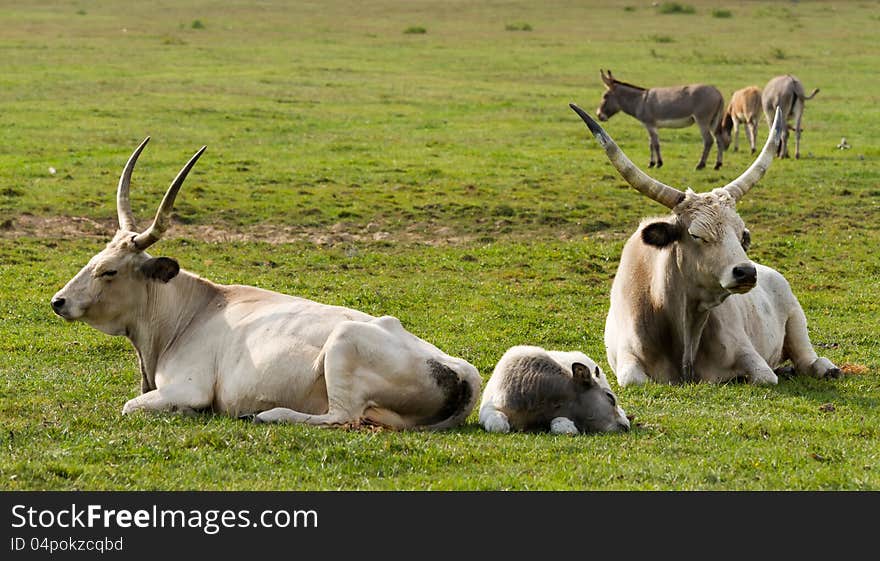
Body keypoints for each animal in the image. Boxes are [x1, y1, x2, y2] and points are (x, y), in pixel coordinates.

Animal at [50, 138, 478, 426]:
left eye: (110, 271)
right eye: (93, 260)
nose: (59, 301)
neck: (193, 311)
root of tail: (459, 369)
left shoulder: (188, 387)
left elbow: (131, 406)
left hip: (343, 346)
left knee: (340, 417)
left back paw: (266, 414)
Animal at [568, 104, 844, 384]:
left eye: (742, 234)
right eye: (696, 235)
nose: (746, 272)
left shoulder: (749, 353)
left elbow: (763, 376)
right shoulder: (627, 357)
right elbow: (633, 379)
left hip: (795, 318)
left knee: (807, 358)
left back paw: (826, 368)